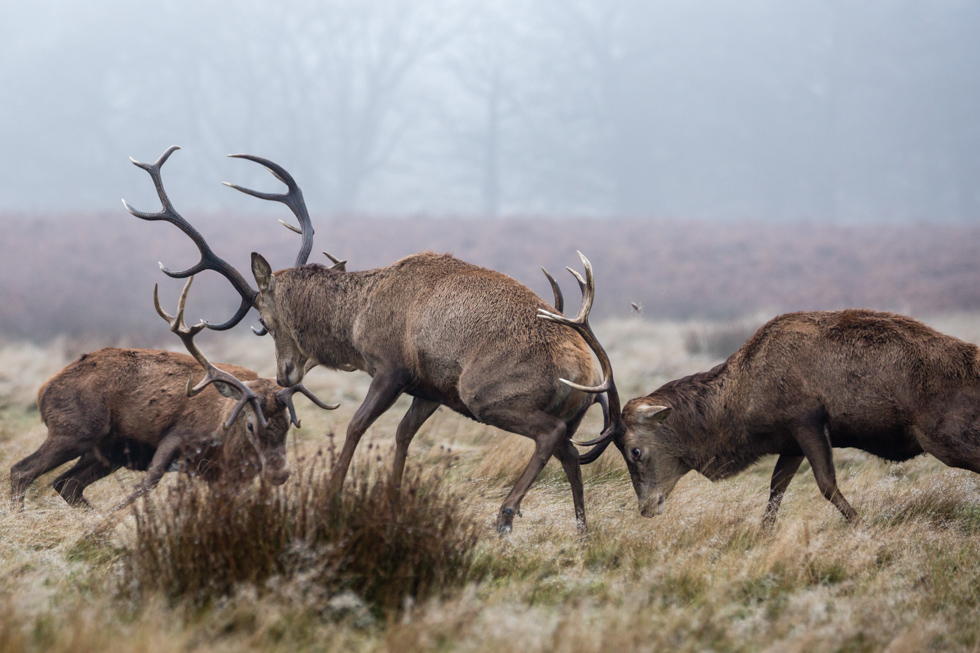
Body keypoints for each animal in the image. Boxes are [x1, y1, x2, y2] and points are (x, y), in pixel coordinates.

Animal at [10, 276, 335, 509]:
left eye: (290, 424)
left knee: (66, 484)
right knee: (21, 471)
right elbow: (145, 485)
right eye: (250, 425)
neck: (225, 443)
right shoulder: (177, 435)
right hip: (74, 430)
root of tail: (42, 390)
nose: (279, 473)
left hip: (105, 452)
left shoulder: (223, 477)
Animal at [123, 145, 605, 534]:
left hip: (485, 392)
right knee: (570, 452)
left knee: (550, 435)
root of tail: (586, 371)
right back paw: (582, 527)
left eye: (265, 317)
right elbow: (403, 437)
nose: (283, 375)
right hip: (554, 410)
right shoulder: (430, 388)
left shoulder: (391, 368)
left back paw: (505, 514)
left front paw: (331, 494)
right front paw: (392, 499)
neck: (356, 325)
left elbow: (356, 425)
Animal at [541, 287, 980, 529]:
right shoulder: (789, 440)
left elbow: (826, 484)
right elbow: (774, 492)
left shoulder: (805, 418)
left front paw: (863, 526)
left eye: (635, 451)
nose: (647, 507)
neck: (744, 408)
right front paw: (762, 535)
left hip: (946, 435)